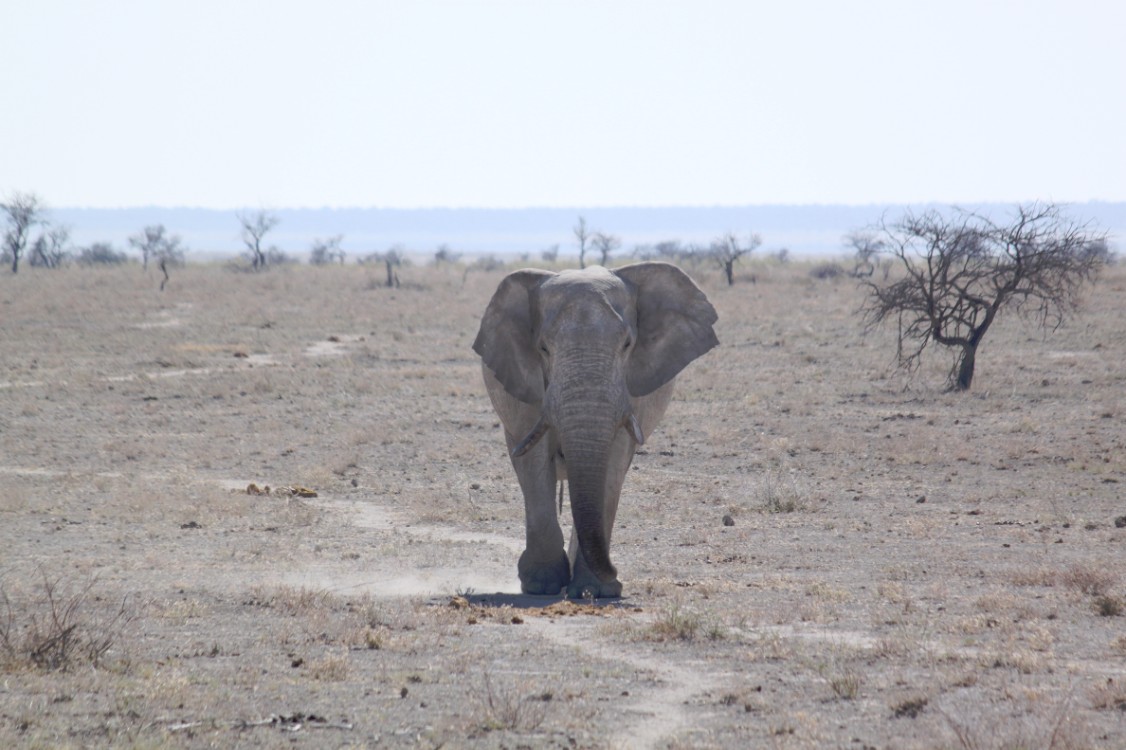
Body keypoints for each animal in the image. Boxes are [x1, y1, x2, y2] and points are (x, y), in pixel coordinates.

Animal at [470, 262, 716, 594]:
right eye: (543, 348)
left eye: (627, 345)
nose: (615, 572)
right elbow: (534, 463)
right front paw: (541, 584)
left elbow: (612, 466)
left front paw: (596, 590)